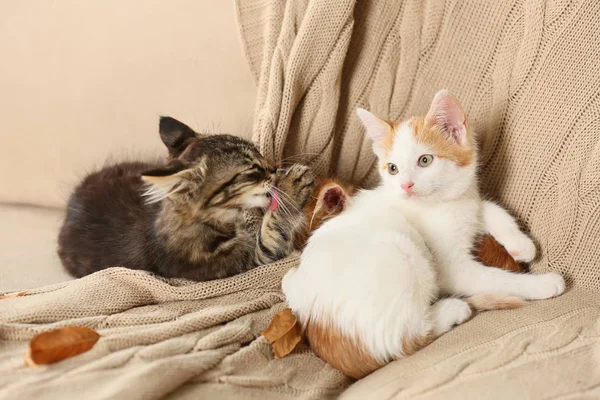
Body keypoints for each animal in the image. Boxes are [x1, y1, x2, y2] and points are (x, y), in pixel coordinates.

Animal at [58, 116, 316, 282]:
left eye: (260, 153)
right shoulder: (245, 262)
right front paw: (292, 186)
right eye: (252, 171)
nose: (274, 168)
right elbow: (273, 233)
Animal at [282, 90, 564, 378]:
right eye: (393, 168)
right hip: (404, 251)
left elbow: (490, 208)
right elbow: (496, 278)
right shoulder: (453, 270)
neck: (442, 204)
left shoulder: (468, 202)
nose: (406, 185)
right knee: (408, 336)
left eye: (425, 160)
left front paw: (522, 245)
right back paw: (454, 309)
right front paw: (542, 284)